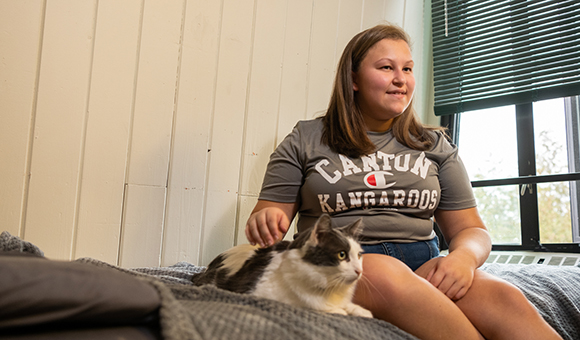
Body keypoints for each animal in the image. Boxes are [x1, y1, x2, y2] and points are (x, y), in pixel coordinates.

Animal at [190, 214, 372, 318]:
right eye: (342, 254)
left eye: (359, 255)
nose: (360, 271)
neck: (329, 289)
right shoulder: (259, 293)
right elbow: (311, 306)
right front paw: (338, 311)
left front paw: (361, 311)